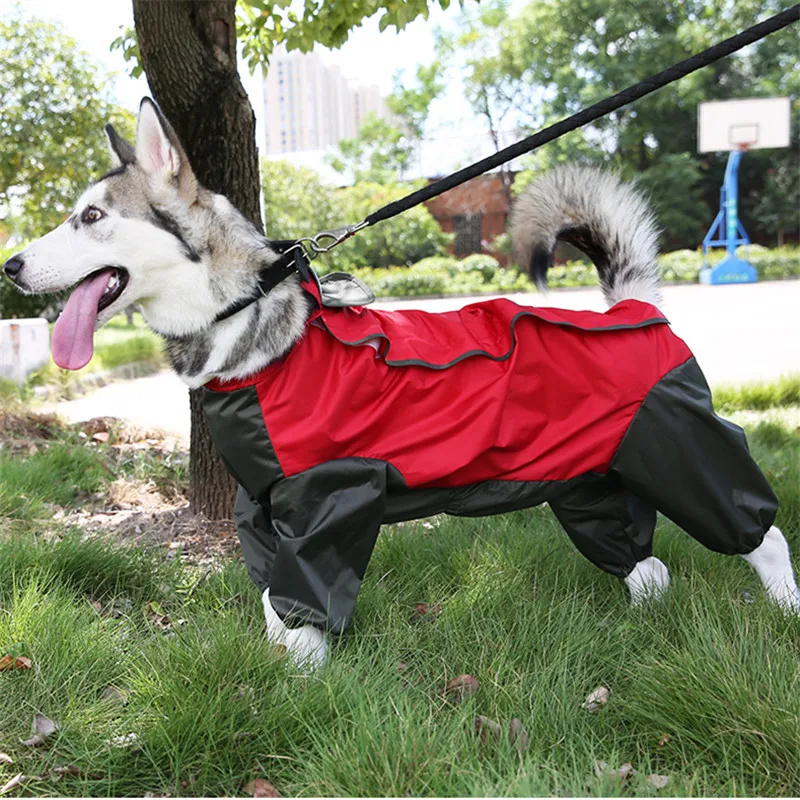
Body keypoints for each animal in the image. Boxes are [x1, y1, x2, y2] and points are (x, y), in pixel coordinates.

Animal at [3, 101, 796, 676]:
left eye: (92, 218)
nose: (9, 265)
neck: (248, 324)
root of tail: (632, 307)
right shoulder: (259, 506)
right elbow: (272, 604)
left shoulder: (327, 495)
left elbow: (304, 614)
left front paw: (295, 690)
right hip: (587, 481)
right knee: (644, 562)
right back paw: (643, 625)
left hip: (681, 450)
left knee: (763, 533)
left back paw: (785, 607)